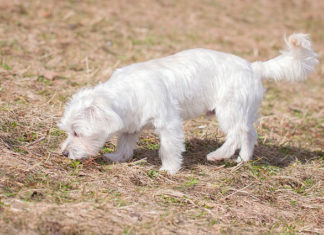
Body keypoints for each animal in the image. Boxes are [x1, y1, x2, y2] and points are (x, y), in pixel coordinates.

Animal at [57, 34, 318, 175]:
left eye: (77, 132)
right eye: (68, 131)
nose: (64, 153)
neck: (128, 91)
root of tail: (254, 67)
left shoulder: (169, 123)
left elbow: (169, 148)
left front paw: (169, 169)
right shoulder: (131, 125)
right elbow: (125, 143)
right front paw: (118, 157)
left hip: (228, 110)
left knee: (236, 133)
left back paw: (218, 155)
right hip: (244, 111)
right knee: (249, 134)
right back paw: (242, 159)